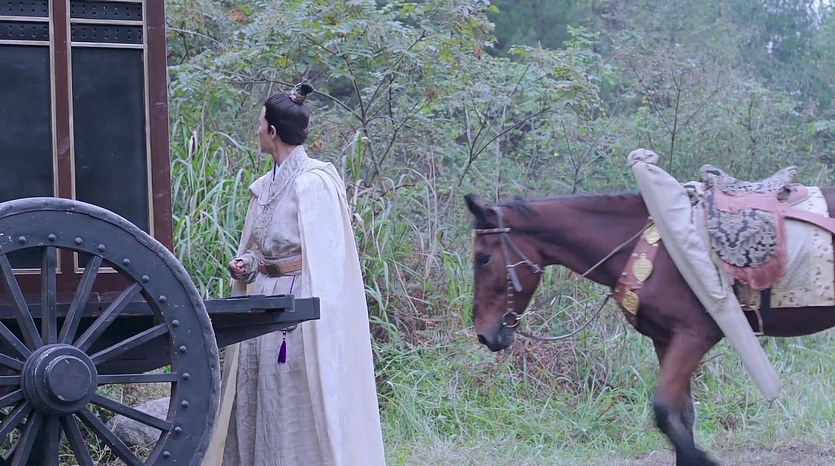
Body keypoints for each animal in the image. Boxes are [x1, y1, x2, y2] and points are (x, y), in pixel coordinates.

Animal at [464, 190, 835, 466]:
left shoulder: (694, 337)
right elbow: (680, 416)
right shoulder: (665, 340)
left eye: (483, 258)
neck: (656, 251)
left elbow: (664, 410)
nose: (484, 332)